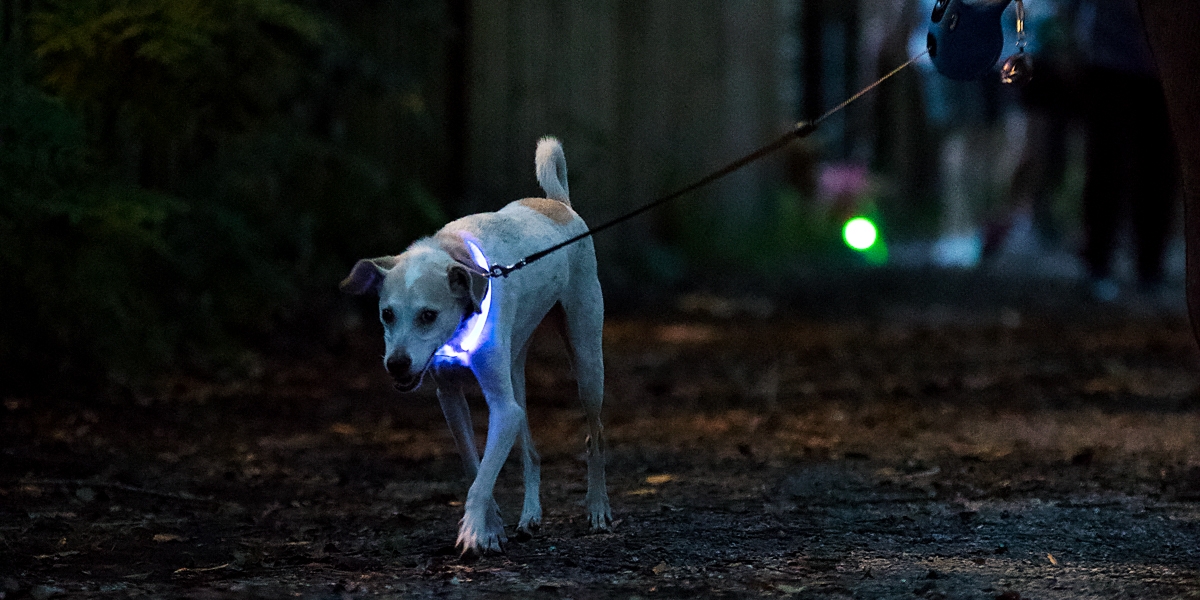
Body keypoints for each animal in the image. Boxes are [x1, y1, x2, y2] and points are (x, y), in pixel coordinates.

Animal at [343, 138, 614, 554]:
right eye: (386, 314)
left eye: (428, 315)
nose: (397, 364)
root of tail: (559, 204)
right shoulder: (451, 399)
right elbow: (476, 469)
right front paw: (492, 527)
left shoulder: (501, 408)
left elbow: (482, 479)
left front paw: (473, 531)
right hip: (515, 370)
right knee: (531, 450)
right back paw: (530, 517)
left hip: (586, 361)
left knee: (594, 435)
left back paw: (598, 509)